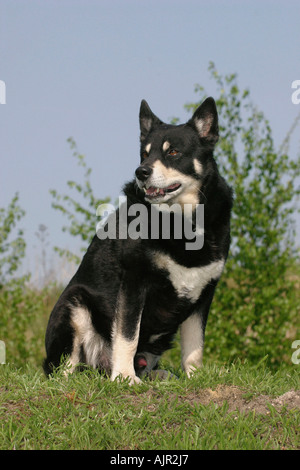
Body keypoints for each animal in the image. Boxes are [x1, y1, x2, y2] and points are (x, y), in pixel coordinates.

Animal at [44, 97, 232, 384]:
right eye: (145, 154)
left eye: (173, 152)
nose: (141, 172)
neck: (180, 222)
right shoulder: (134, 281)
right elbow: (127, 335)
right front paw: (124, 376)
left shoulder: (204, 291)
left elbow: (194, 345)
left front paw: (194, 376)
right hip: (74, 304)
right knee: (64, 368)